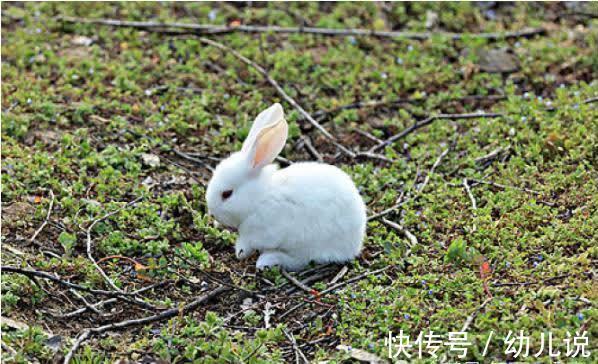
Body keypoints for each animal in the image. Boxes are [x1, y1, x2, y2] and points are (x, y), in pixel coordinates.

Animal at [205, 102, 366, 270]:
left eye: (227, 194)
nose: (212, 213)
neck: (259, 198)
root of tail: (356, 243)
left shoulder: (261, 232)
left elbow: (248, 243)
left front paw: (240, 253)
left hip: (307, 244)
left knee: (298, 260)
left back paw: (267, 260)